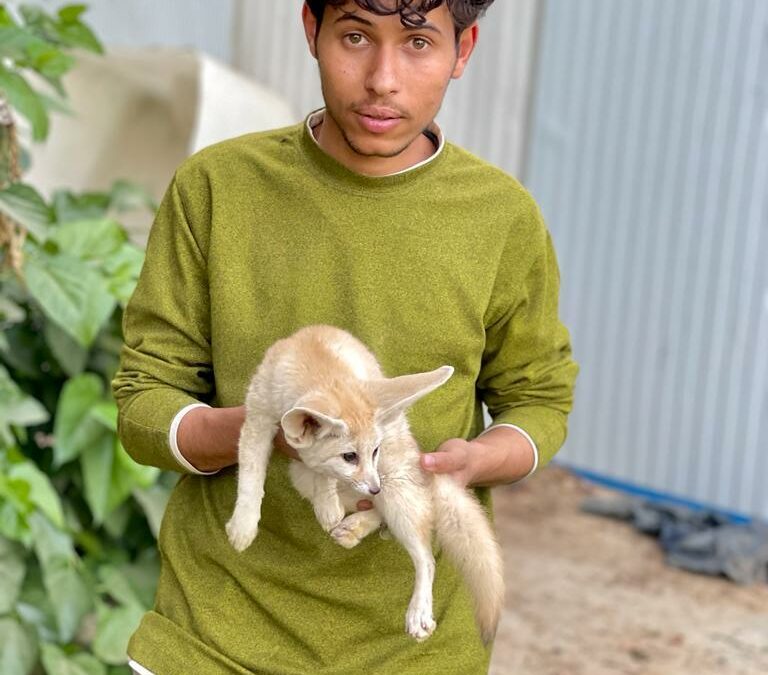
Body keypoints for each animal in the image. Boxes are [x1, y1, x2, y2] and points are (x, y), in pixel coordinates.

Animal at [225, 324, 505, 643]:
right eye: (350, 456)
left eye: (374, 451)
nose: (375, 488)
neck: (316, 359)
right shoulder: (257, 419)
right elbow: (251, 475)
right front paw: (244, 525)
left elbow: (323, 472)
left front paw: (327, 507)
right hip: (303, 476)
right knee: (377, 511)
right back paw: (354, 524)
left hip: (397, 493)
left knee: (425, 557)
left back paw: (418, 609)